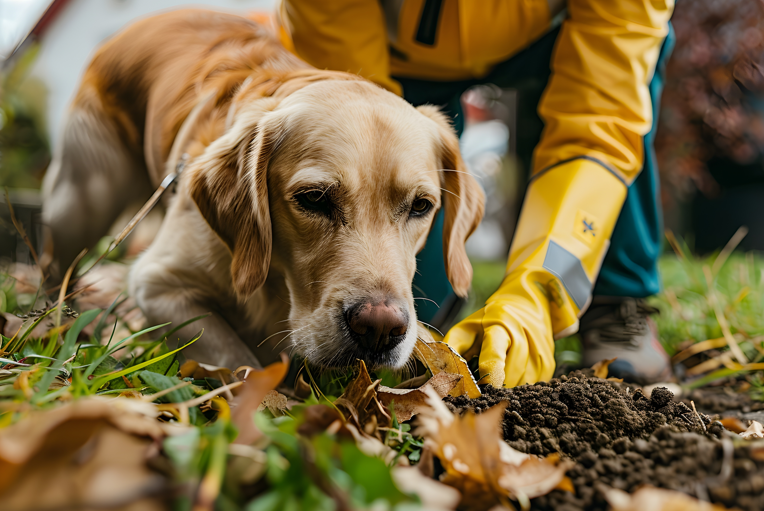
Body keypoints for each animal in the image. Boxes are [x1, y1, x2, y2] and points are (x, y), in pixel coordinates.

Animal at [40, 10, 484, 370]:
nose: (380, 328)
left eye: (421, 206)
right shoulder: (157, 284)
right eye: (314, 199)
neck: (277, 283)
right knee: (56, 268)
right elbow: (238, 361)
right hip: (81, 202)